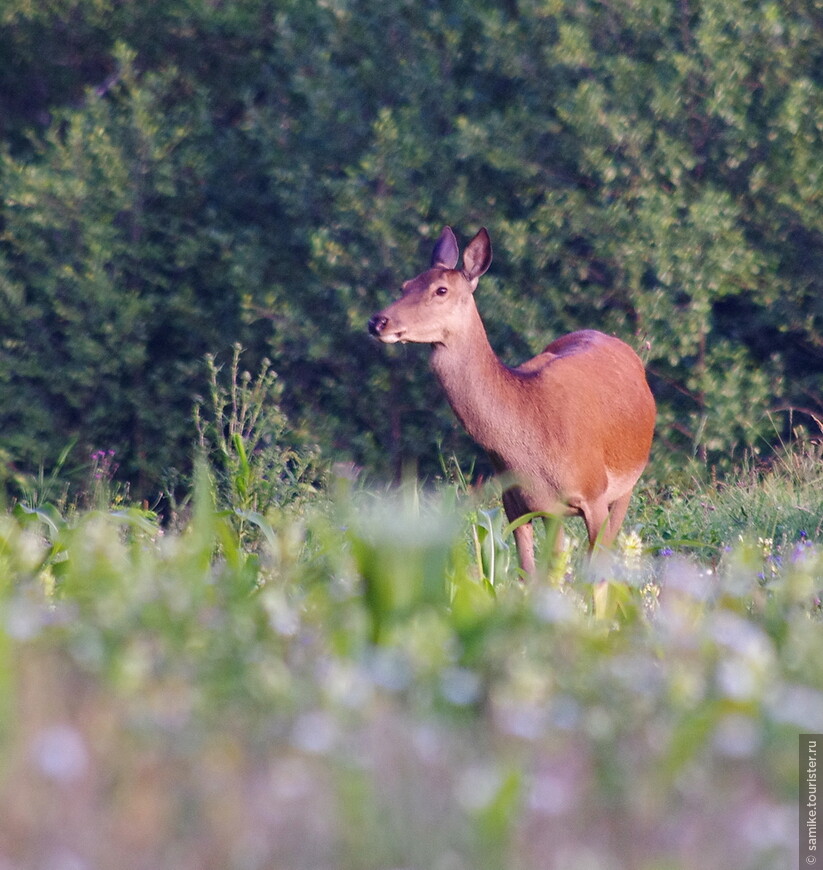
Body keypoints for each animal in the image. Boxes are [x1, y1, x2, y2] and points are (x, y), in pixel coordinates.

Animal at [366, 228, 656, 576]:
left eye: (441, 290)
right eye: (405, 285)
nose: (378, 321)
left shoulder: (592, 493)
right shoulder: (518, 503)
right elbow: (531, 574)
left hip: (627, 484)